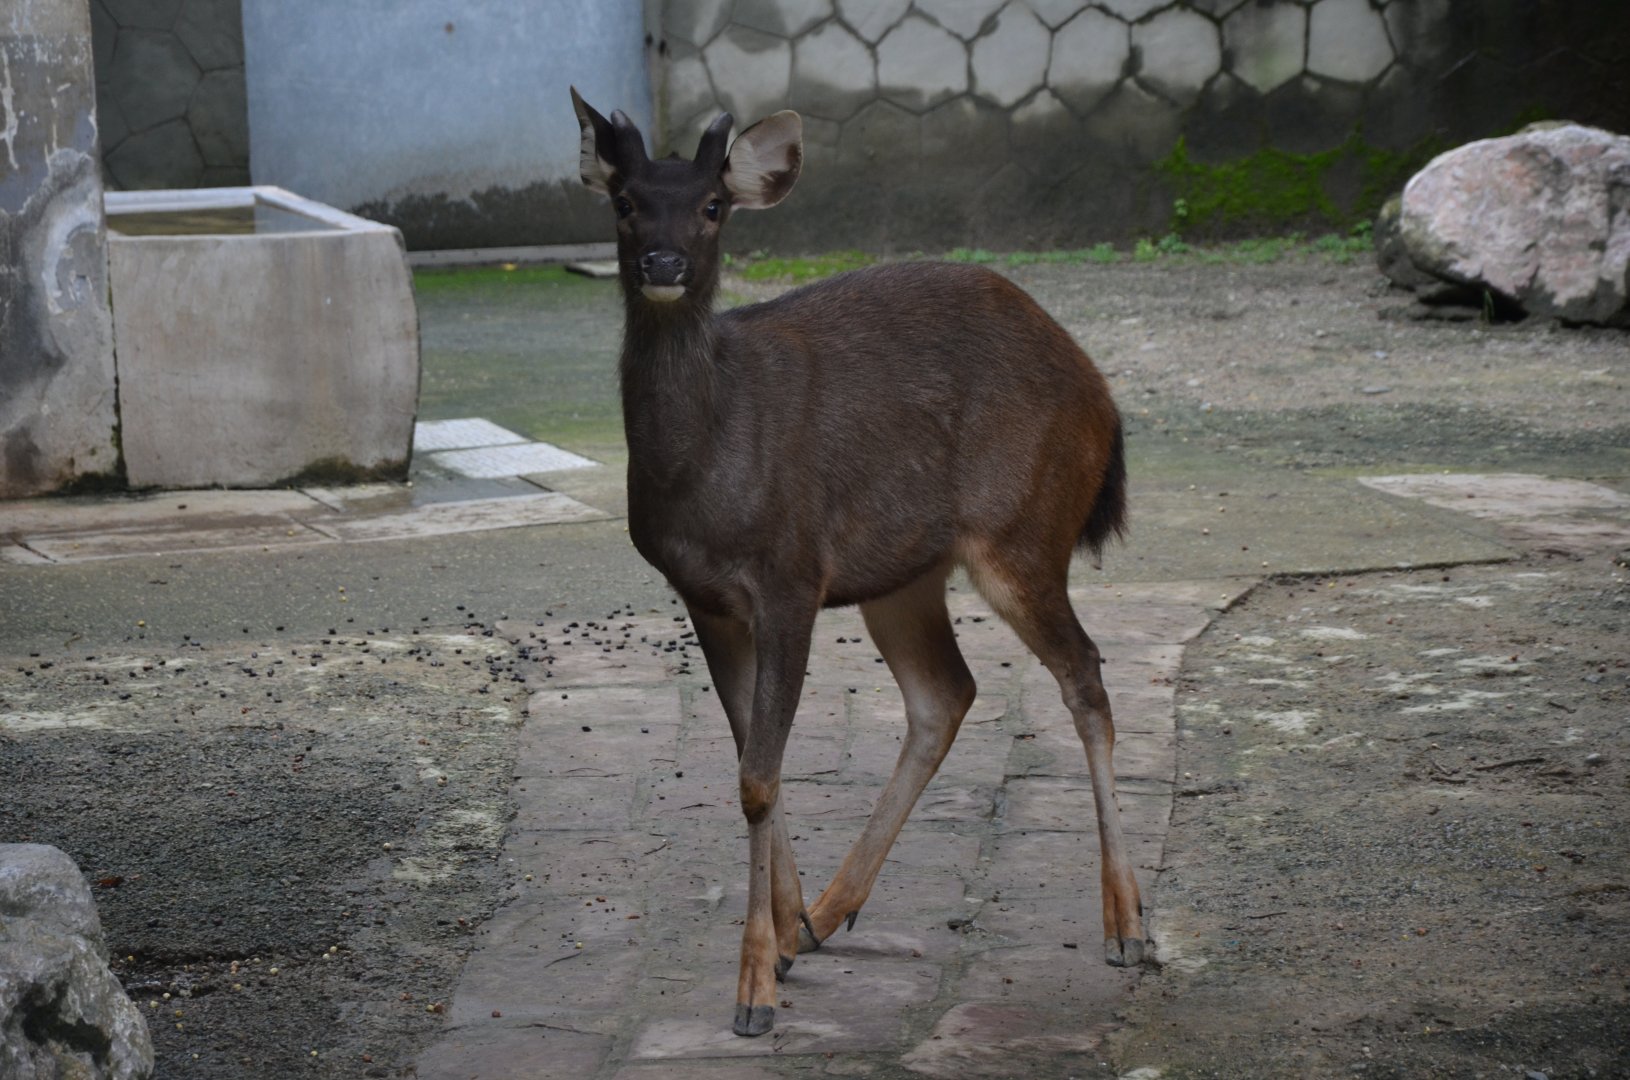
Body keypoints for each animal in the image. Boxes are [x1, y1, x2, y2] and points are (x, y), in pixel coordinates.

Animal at [569, 88, 1141, 1037]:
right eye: (623, 202)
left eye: (713, 207)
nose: (663, 260)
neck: (704, 472)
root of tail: (1104, 396)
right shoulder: (703, 596)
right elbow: (750, 760)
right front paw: (781, 936)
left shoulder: (791, 574)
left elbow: (759, 775)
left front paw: (753, 991)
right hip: (904, 574)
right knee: (946, 692)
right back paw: (829, 913)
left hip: (1023, 531)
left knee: (1084, 672)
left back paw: (1127, 926)